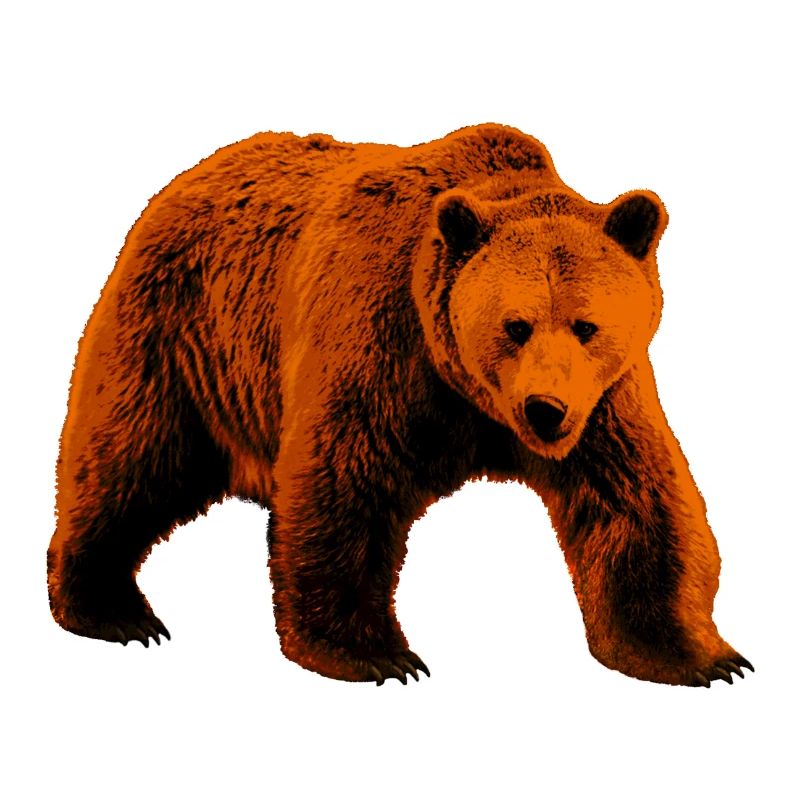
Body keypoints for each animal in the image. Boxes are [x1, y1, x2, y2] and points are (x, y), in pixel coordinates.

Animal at [49, 123, 753, 688]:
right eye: (515, 325)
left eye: (586, 325)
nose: (545, 409)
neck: (473, 397)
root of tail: (190, 174)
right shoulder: (383, 341)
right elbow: (345, 485)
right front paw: (379, 655)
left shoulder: (604, 401)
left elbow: (637, 503)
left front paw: (705, 658)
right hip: (184, 331)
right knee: (132, 456)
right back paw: (112, 609)